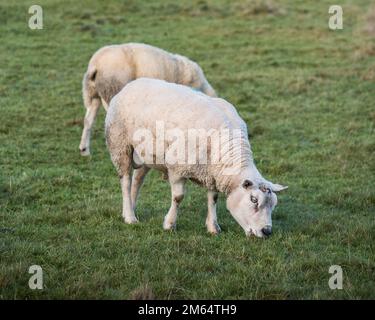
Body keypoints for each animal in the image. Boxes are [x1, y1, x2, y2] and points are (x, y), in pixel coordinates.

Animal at [104, 78, 286, 238]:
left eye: (274, 204)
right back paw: (130, 217)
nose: (267, 231)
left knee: (137, 180)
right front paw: (169, 224)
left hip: (146, 153)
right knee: (126, 181)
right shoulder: (177, 169)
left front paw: (213, 227)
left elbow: (213, 199)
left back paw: (131, 208)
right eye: (254, 200)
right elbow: (178, 198)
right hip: (120, 145)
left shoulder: (212, 173)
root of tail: (131, 84)